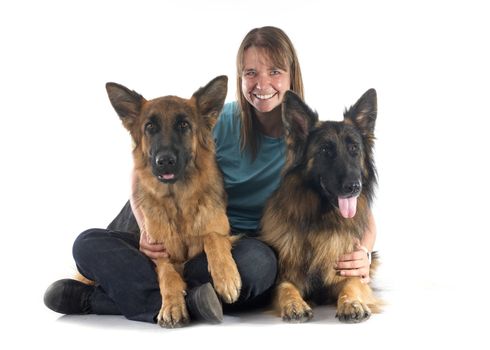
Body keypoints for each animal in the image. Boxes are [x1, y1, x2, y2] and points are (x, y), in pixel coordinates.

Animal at [104, 76, 240, 328]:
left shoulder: (220, 232)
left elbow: (212, 237)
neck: (178, 204)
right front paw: (172, 306)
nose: (164, 161)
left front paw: (226, 277)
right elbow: (167, 275)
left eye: (183, 125)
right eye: (150, 127)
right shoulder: (160, 254)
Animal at [260, 88, 378, 322]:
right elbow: (286, 288)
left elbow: (352, 284)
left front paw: (351, 303)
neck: (320, 221)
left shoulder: (348, 270)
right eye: (325, 150)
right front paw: (294, 304)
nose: (354, 186)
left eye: (354, 149)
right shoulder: (283, 278)